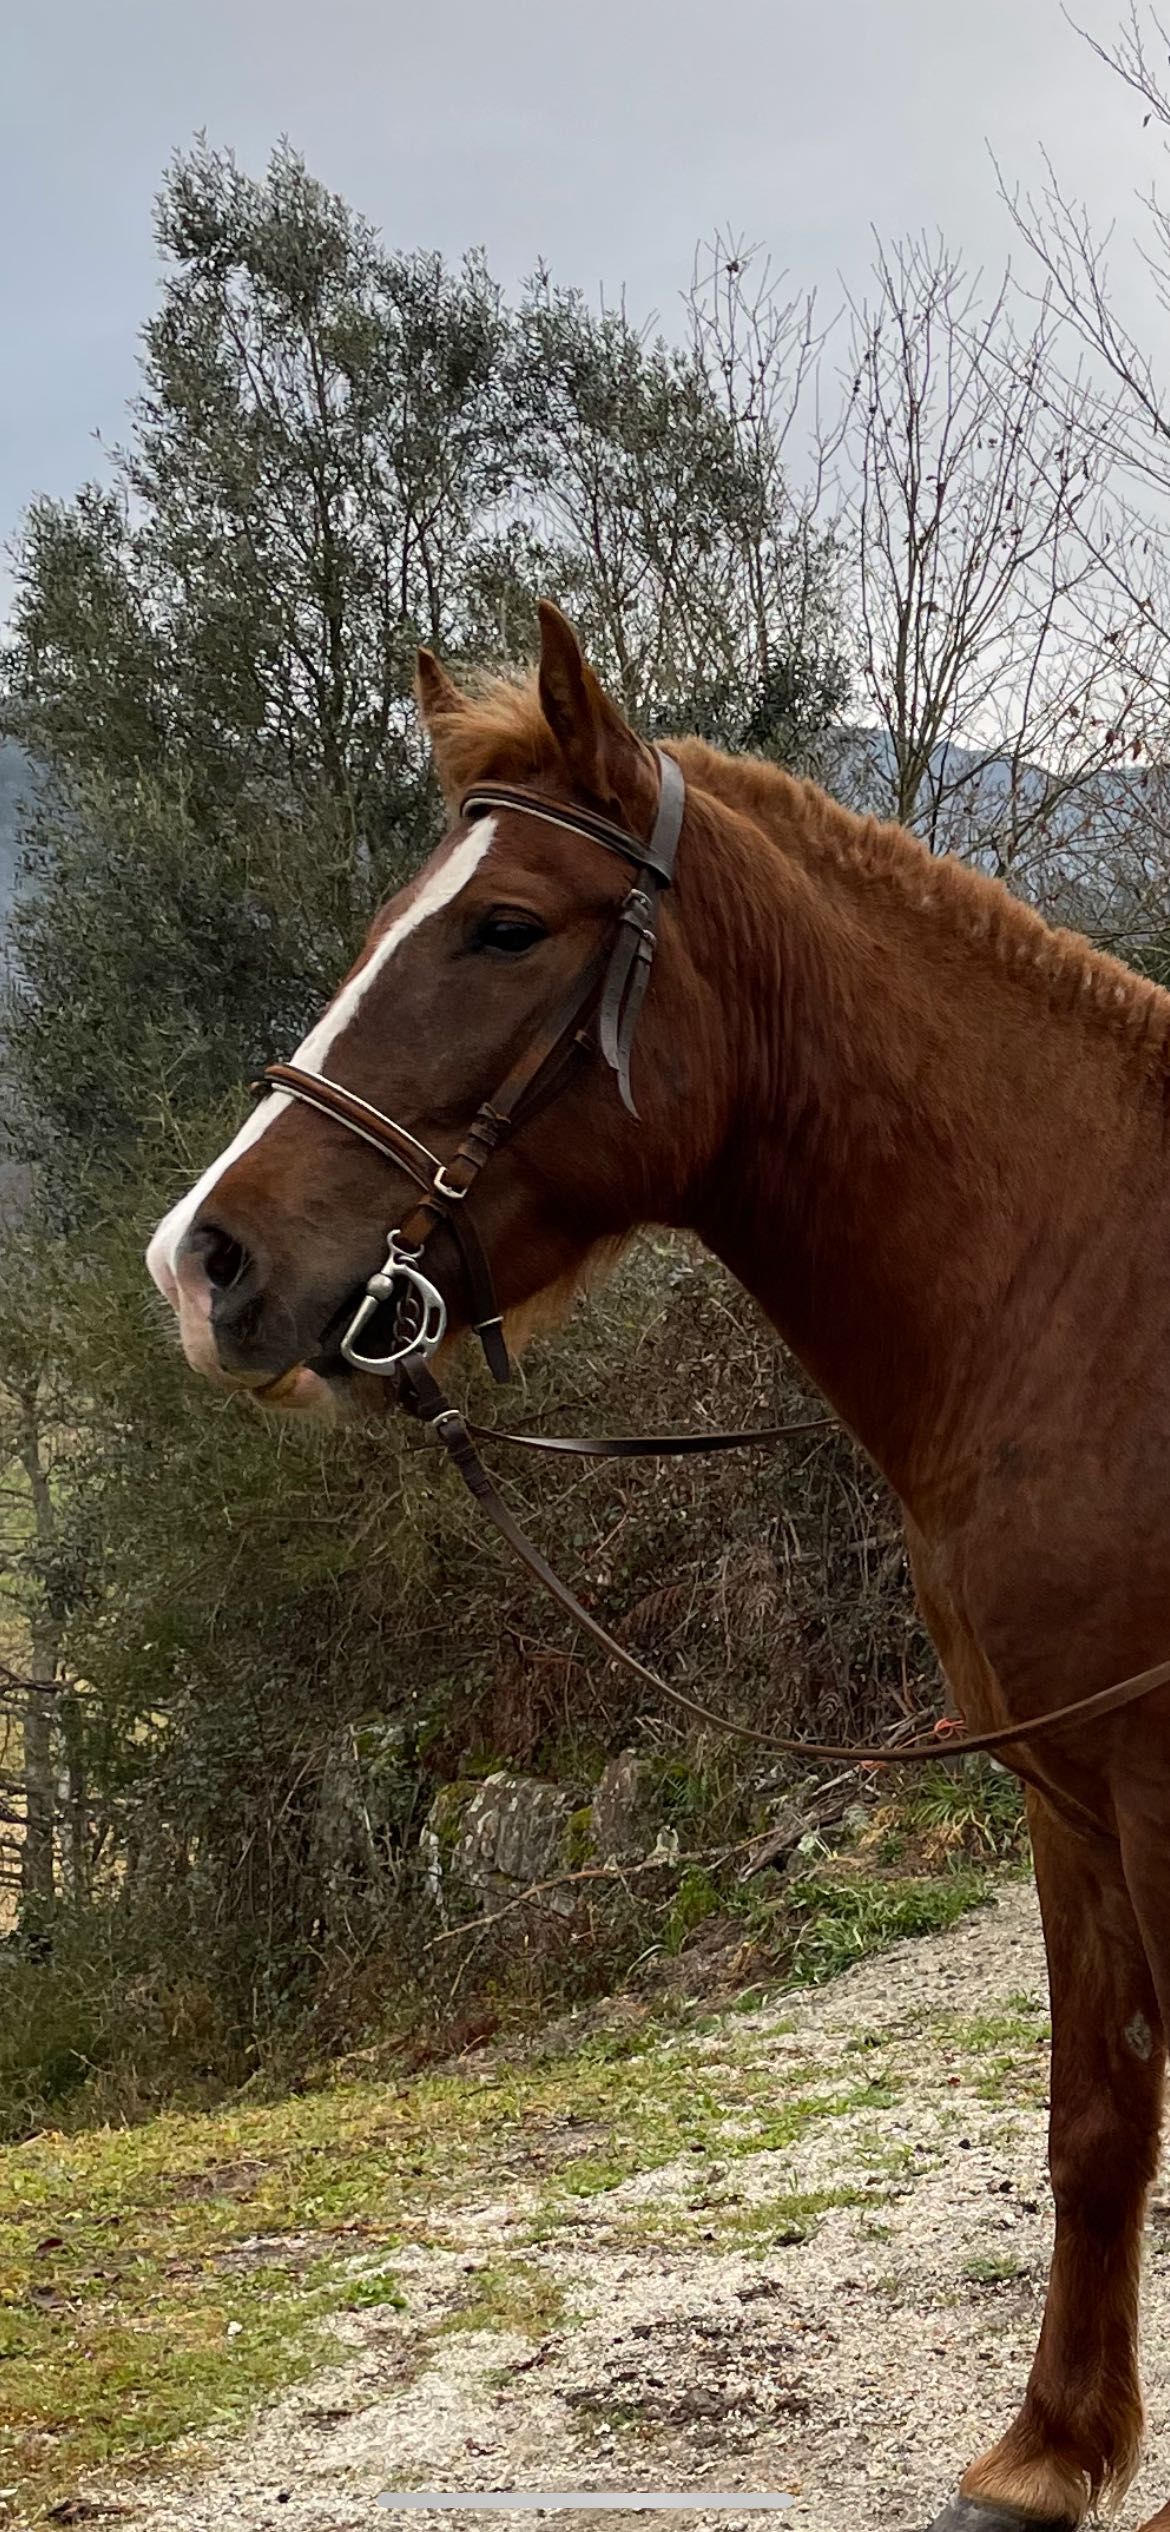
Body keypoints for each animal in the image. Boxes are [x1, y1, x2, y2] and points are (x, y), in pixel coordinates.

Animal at [148, 597, 1170, 2532]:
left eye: (505, 926)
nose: (204, 1261)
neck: (1099, 1301)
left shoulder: (1153, 1789)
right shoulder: (1067, 1792)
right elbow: (1095, 2111)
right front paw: (1047, 2453)